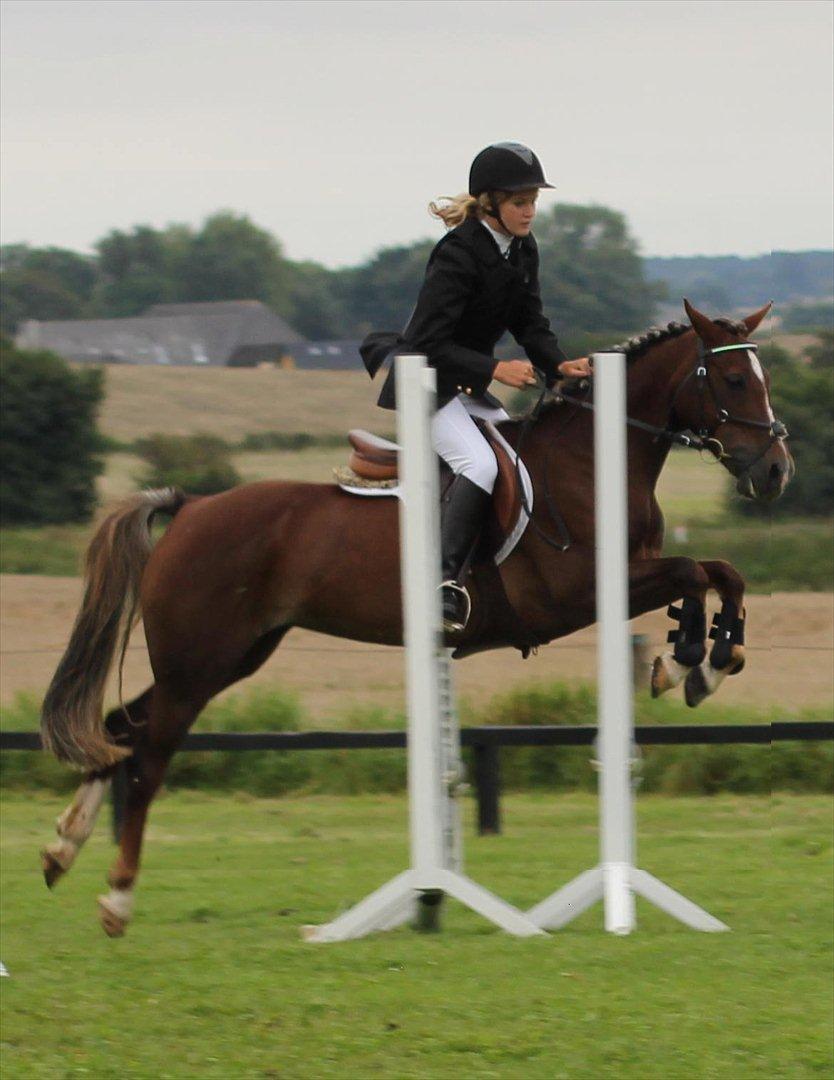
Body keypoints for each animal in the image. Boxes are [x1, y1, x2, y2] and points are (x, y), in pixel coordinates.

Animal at [39, 298, 795, 937]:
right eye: (732, 379)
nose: (776, 471)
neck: (590, 463)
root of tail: (192, 507)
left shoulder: (630, 573)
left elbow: (723, 573)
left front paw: (710, 661)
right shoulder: (572, 594)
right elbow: (693, 573)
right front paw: (685, 659)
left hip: (234, 654)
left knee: (119, 728)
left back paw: (62, 849)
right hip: (199, 662)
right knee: (148, 757)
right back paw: (116, 897)